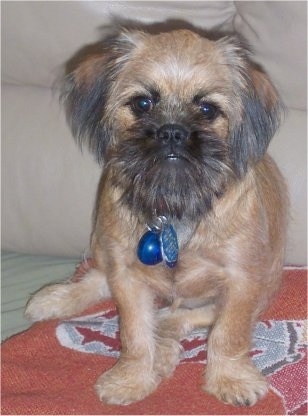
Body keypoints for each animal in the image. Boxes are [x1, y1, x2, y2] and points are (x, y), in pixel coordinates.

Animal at [24, 29, 288, 406]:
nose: (172, 131)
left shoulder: (243, 279)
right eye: (142, 103)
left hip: (267, 283)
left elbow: (229, 333)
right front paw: (132, 379)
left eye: (207, 109)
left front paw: (231, 378)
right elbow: (134, 334)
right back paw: (56, 298)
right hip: (104, 245)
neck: (174, 208)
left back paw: (166, 337)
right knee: (99, 278)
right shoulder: (128, 276)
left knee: (192, 316)